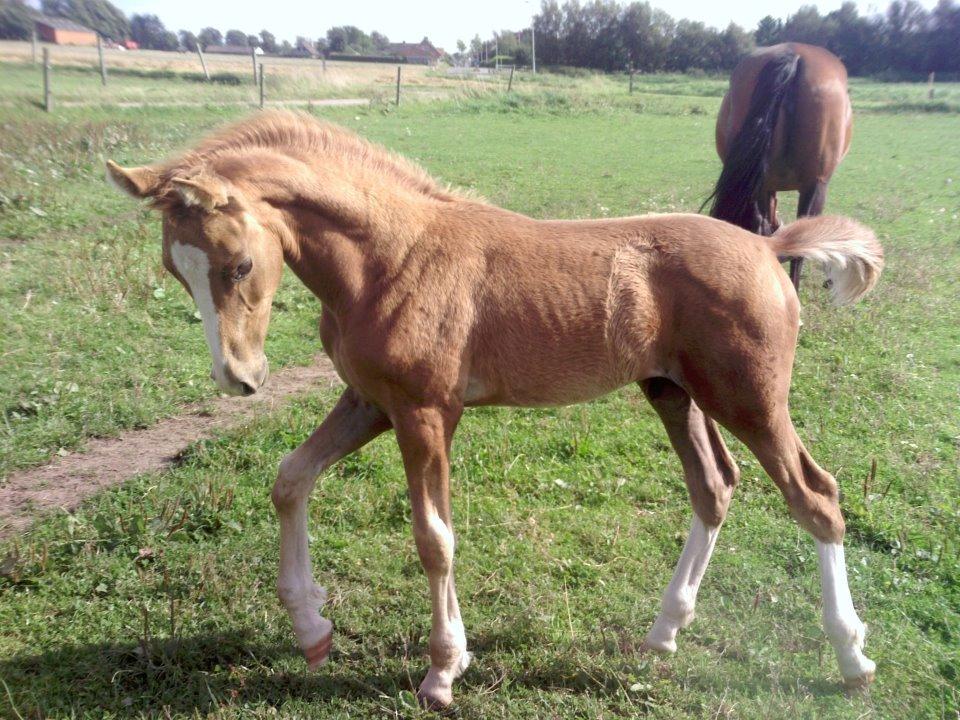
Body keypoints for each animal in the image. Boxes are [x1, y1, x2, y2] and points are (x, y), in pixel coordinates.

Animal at [107, 111, 884, 704]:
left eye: (238, 264)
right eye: (176, 269)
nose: (238, 378)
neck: (390, 258)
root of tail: (768, 245)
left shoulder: (425, 412)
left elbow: (434, 537)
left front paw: (443, 671)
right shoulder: (371, 401)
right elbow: (291, 479)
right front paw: (312, 629)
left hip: (749, 398)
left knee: (816, 496)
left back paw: (851, 658)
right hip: (673, 392)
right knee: (714, 486)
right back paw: (664, 631)